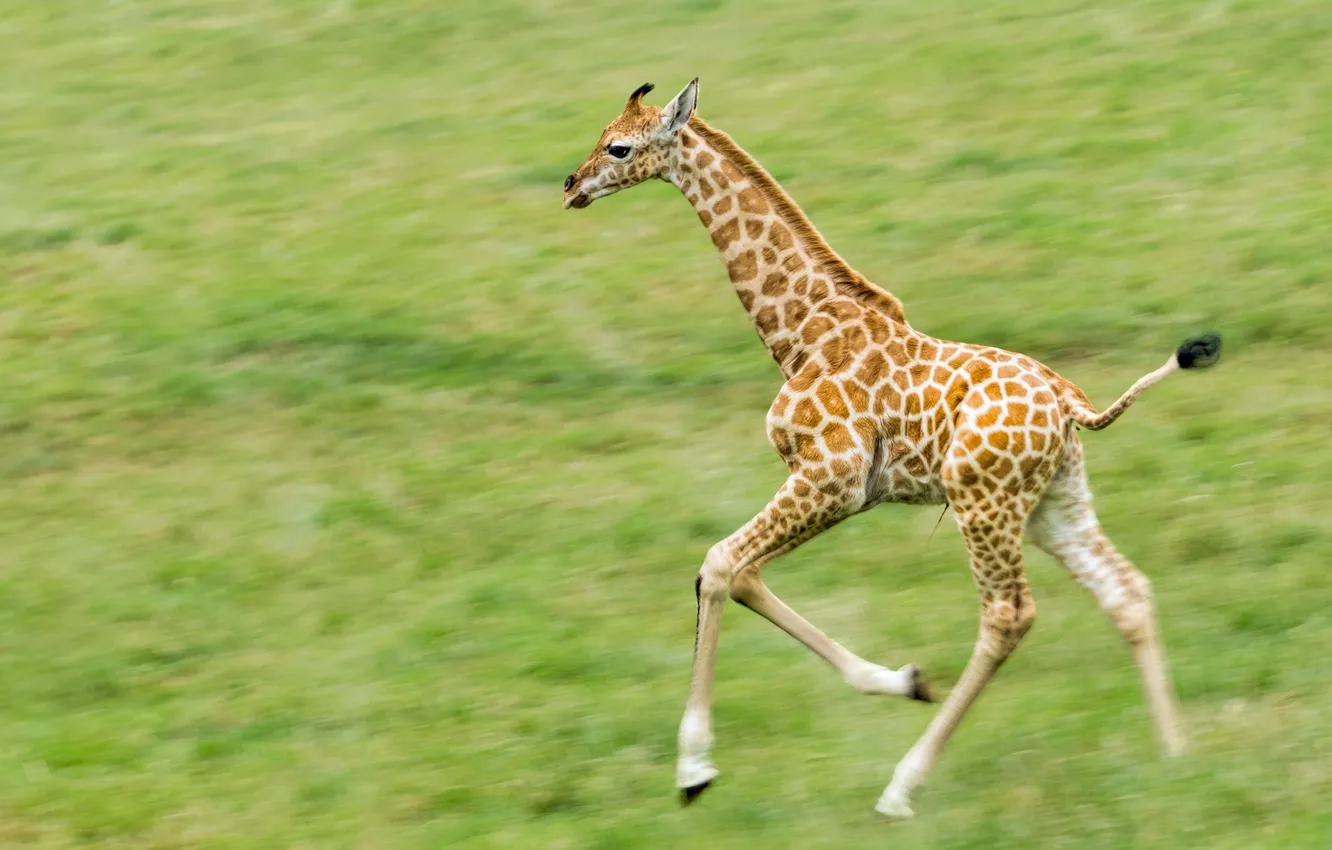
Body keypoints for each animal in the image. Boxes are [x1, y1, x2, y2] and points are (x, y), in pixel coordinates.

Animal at [562, 78, 1221, 819]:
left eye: (619, 147)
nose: (572, 185)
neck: (800, 332)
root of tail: (1070, 403)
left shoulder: (833, 477)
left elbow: (721, 564)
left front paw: (694, 770)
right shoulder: (837, 488)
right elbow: (744, 574)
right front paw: (903, 679)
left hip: (983, 503)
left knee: (1007, 616)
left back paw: (902, 788)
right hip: (1055, 500)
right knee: (1125, 589)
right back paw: (1177, 757)